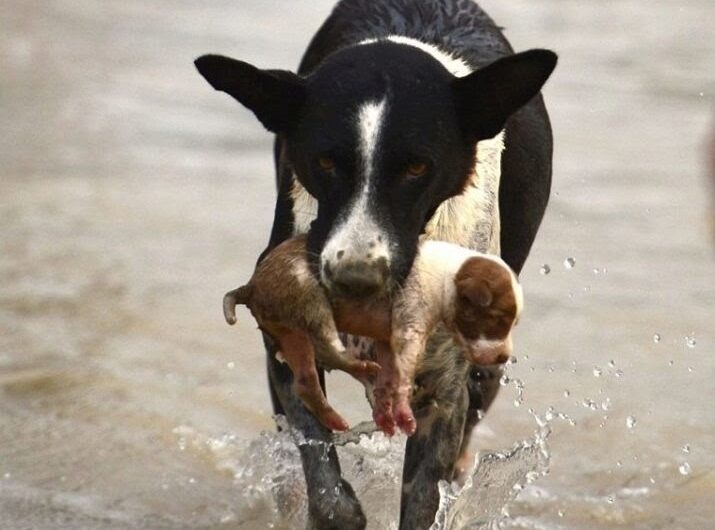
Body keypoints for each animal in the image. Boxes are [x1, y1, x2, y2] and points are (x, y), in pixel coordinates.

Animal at [221, 235, 524, 434]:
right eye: (498, 320)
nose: (504, 356)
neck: (448, 277)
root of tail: (251, 285)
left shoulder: (387, 340)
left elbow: (389, 376)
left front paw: (385, 412)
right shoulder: (409, 328)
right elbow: (402, 377)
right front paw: (403, 414)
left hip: (290, 334)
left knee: (305, 381)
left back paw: (333, 418)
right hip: (309, 296)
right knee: (328, 344)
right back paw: (360, 367)